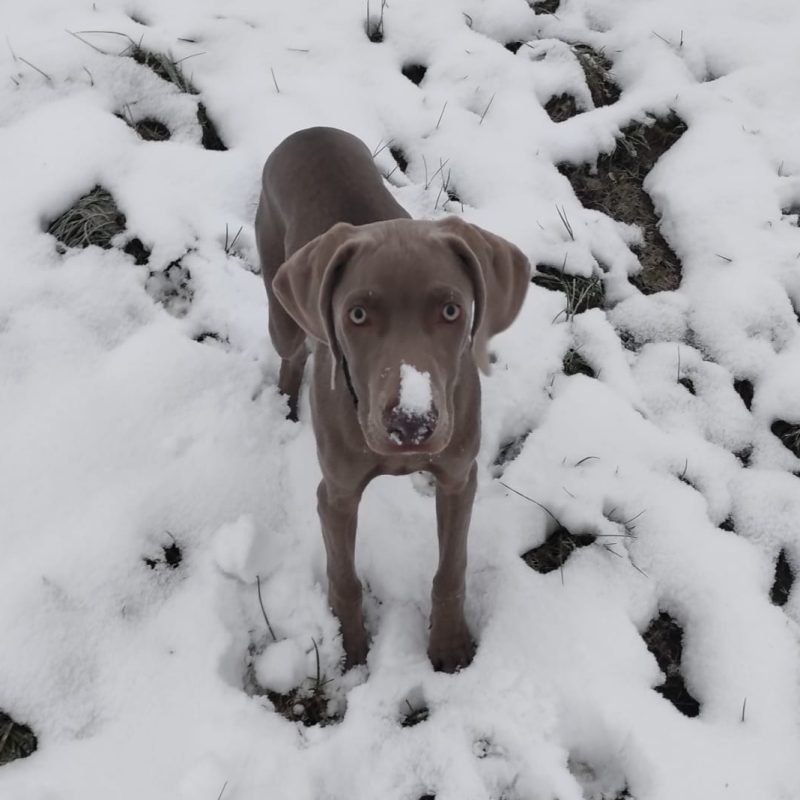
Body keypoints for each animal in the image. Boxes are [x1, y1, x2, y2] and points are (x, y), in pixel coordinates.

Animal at [255, 127, 530, 671]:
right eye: (357, 315)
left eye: (451, 310)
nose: (411, 425)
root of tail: (309, 130)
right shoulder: (336, 496)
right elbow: (343, 579)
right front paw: (351, 648)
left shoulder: (458, 479)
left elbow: (452, 569)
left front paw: (449, 647)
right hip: (280, 305)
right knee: (290, 353)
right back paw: (285, 404)